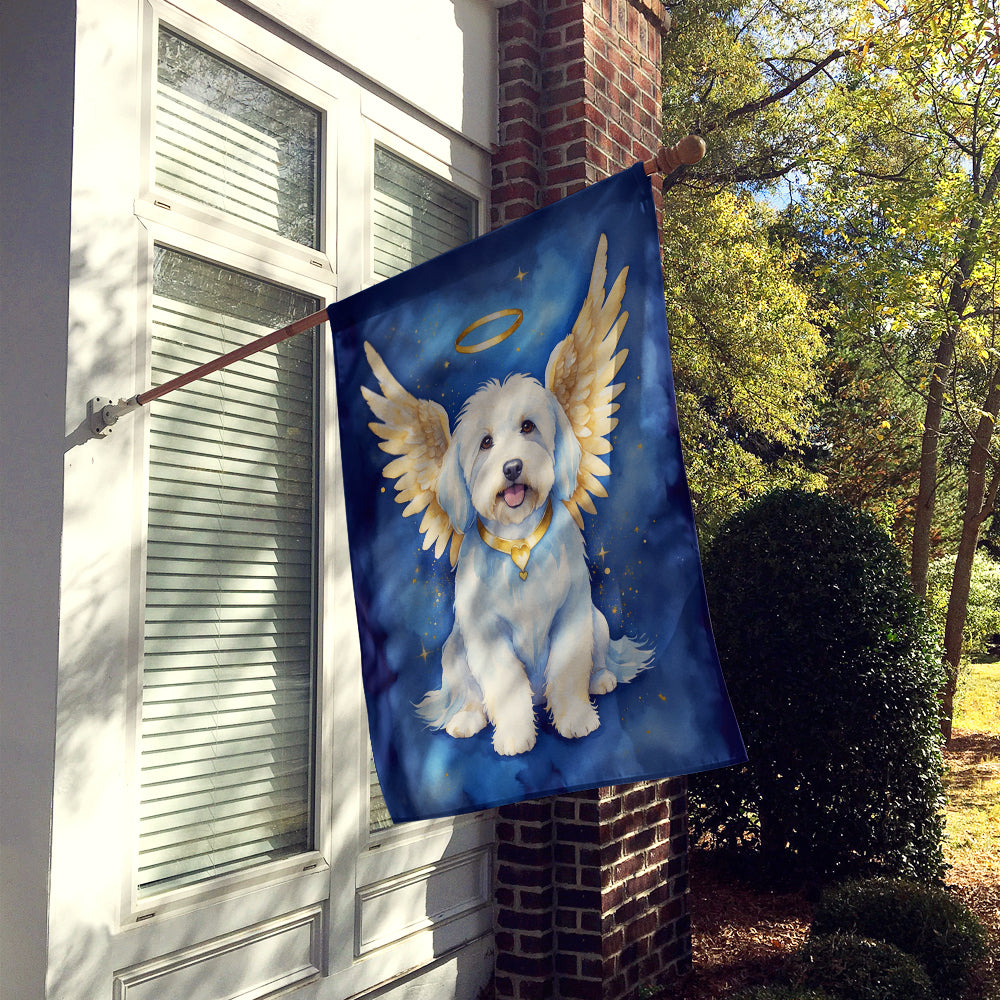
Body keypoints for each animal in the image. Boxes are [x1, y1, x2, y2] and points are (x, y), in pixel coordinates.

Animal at [364, 232, 652, 752]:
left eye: (528, 426)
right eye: (485, 443)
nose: (513, 468)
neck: (519, 543)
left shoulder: (571, 616)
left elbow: (567, 672)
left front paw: (576, 718)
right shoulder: (485, 636)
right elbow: (506, 684)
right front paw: (516, 736)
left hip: (598, 618)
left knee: (599, 656)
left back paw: (601, 678)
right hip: (453, 649)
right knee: (468, 691)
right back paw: (467, 717)